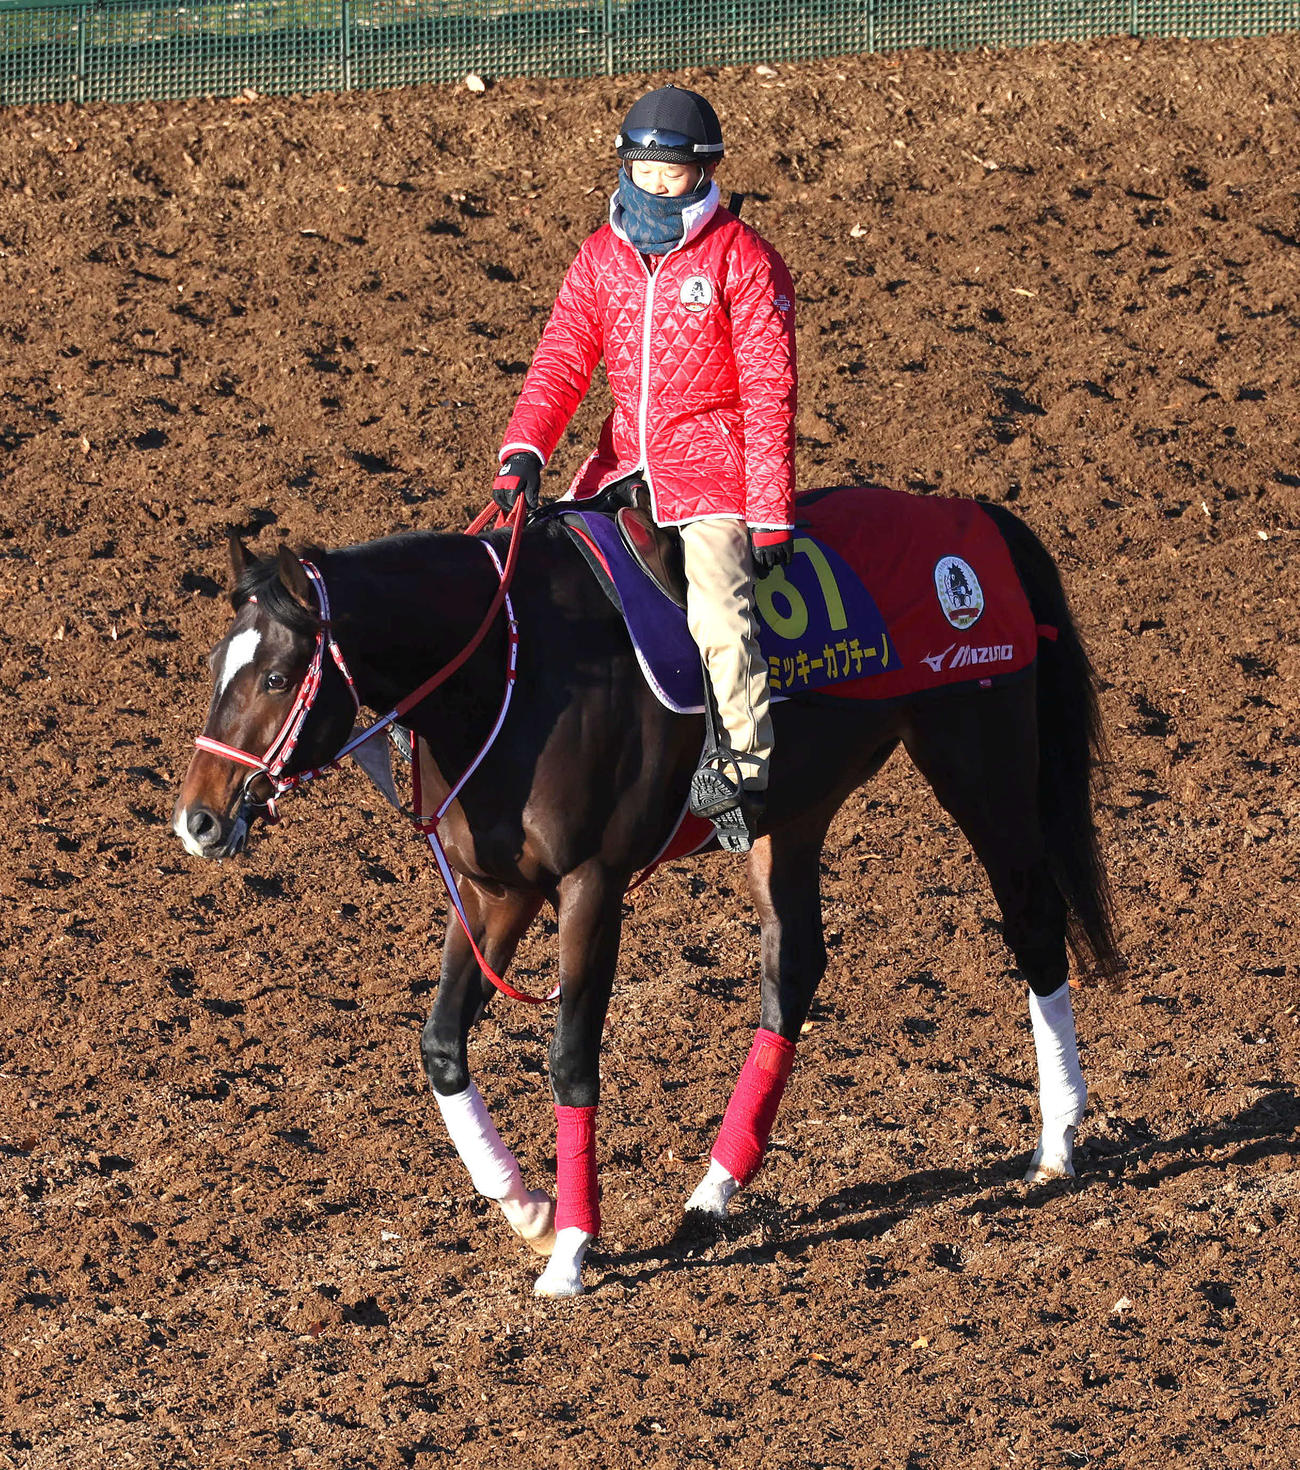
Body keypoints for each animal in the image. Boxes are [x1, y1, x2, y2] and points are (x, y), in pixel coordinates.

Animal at [171, 490, 1119, 1297]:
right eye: (216, 662)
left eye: (277, 677)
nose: (198, 821)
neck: (515, 671)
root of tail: (978, 518)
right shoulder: (492, 890)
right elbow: (441, 1043)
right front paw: (527, 1208)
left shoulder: (592, 885)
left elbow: (571, 1056)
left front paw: (571, 1249)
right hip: (791, 814)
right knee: (793, 970)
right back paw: (714, 1192)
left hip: (979, 761)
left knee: (1034, 922)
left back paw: (1055, 1145)